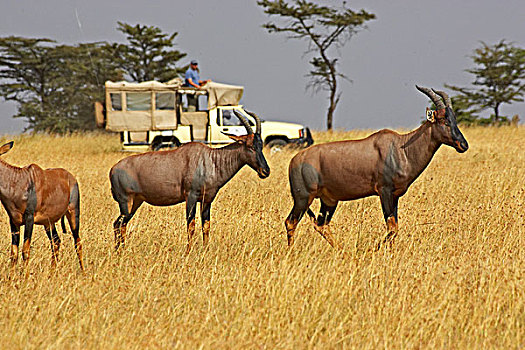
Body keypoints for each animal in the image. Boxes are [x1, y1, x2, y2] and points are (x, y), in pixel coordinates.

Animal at [0, 141, 83, 270]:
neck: (18, 181)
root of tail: (72, 178)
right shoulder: (13, 221)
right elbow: (14, 253)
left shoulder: (29, 219)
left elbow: (25, 251)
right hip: (48, 222)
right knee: (56, 241)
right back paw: (52, 272)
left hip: (73, 213)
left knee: (77, 242)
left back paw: (83, 272)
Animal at [108, 110, 268, 253]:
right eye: (250, 146)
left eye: (261, 145)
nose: (265, 171)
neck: (210, 159)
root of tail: (113, 169)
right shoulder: (190, 197)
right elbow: (191, 225)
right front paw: (188, 252)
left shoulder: (207, 200)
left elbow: (206, 226)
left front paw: (205, 250)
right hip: (126, 202)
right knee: (119, 224)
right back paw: (120, 251)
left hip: (136, 202)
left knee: (119, 223)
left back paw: (120, 251)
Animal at [284, 87, 468, 252]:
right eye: (444, 120)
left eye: (454, 119)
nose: (463, 145)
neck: (401, 148)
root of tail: (294, 160)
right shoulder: (384, 191)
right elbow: (392, 227)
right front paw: (375, 249)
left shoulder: (395, 196)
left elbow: (395, 226)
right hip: (303, 198)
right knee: (290, 222)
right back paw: (291, 253)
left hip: (329, 200)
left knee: (321, 225)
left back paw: (343, 251)